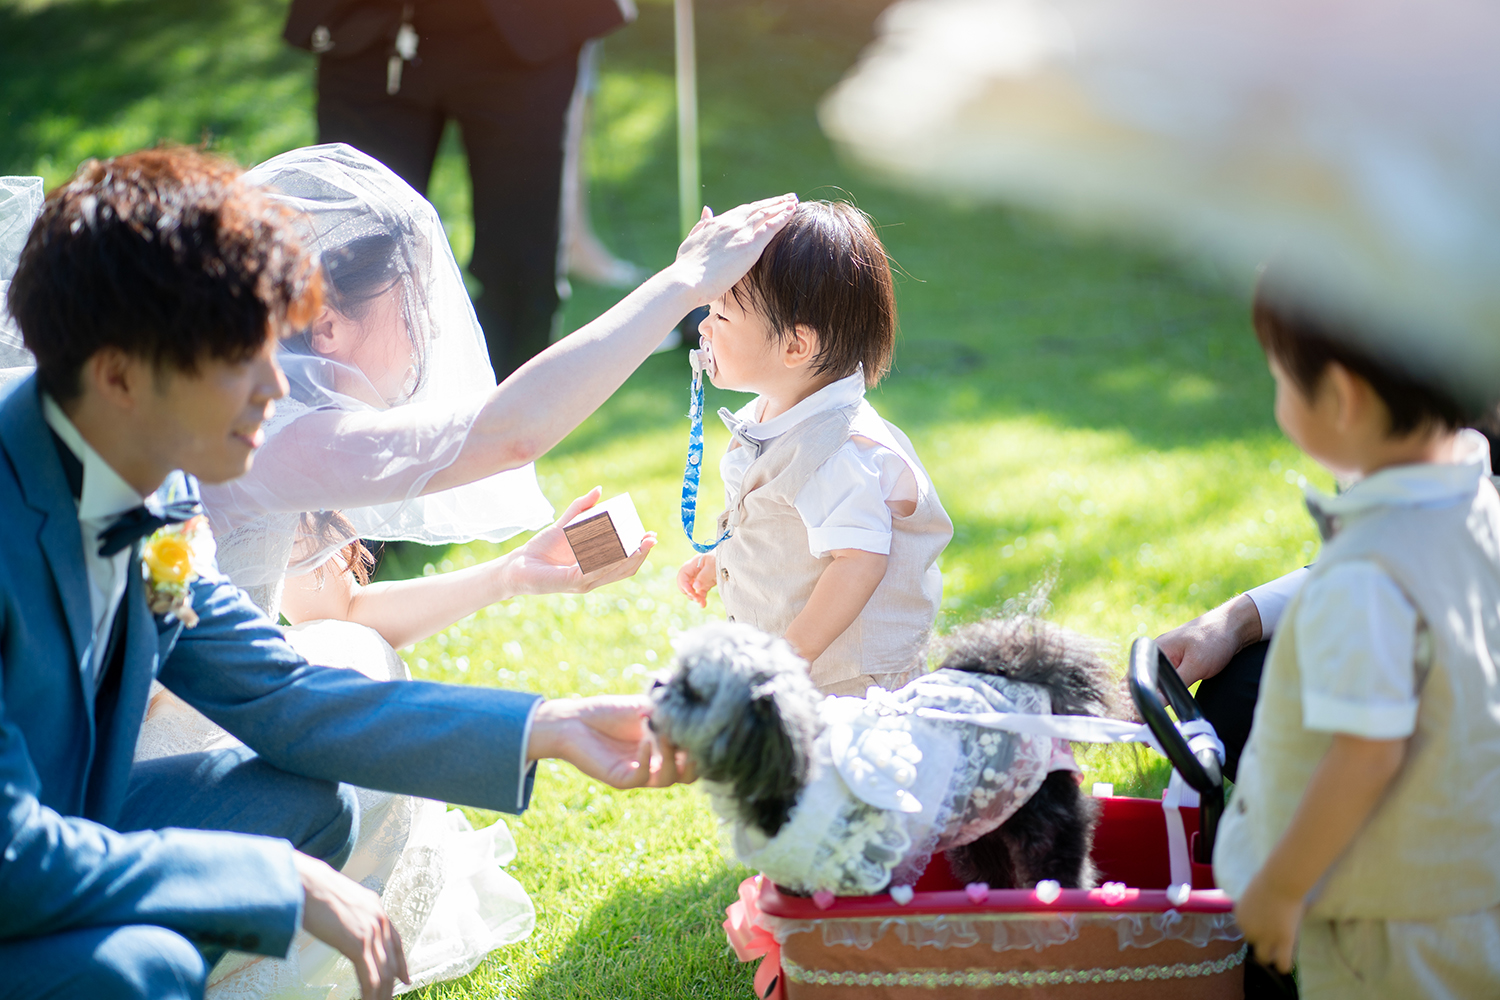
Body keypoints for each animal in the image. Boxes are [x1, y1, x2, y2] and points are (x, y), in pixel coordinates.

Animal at [651, 620, 1122, 893]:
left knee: (1059, 866)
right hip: (980, 825)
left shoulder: (864, 867)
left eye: (691, 690)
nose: (656, 683)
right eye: (674, 671)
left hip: (1042, 822)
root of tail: (1028, 684)